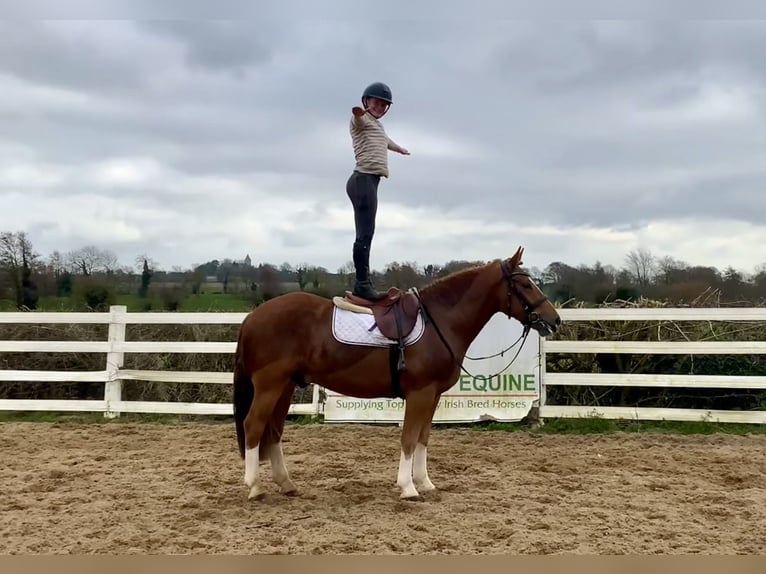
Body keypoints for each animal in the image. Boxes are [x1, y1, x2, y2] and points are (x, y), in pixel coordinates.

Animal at [232, 246, 561, 501]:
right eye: (526, 285)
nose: (555, 320)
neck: (440, 320)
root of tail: (252, 316)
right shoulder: (419, 394)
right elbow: (408, 438)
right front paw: (407, 487)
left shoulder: (432, 396)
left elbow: (423, 438)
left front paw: (424, 483)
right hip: (270, 386)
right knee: (253, 425)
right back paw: (255, 486)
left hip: (285, 387)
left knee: (273, 430)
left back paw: (286, 483)